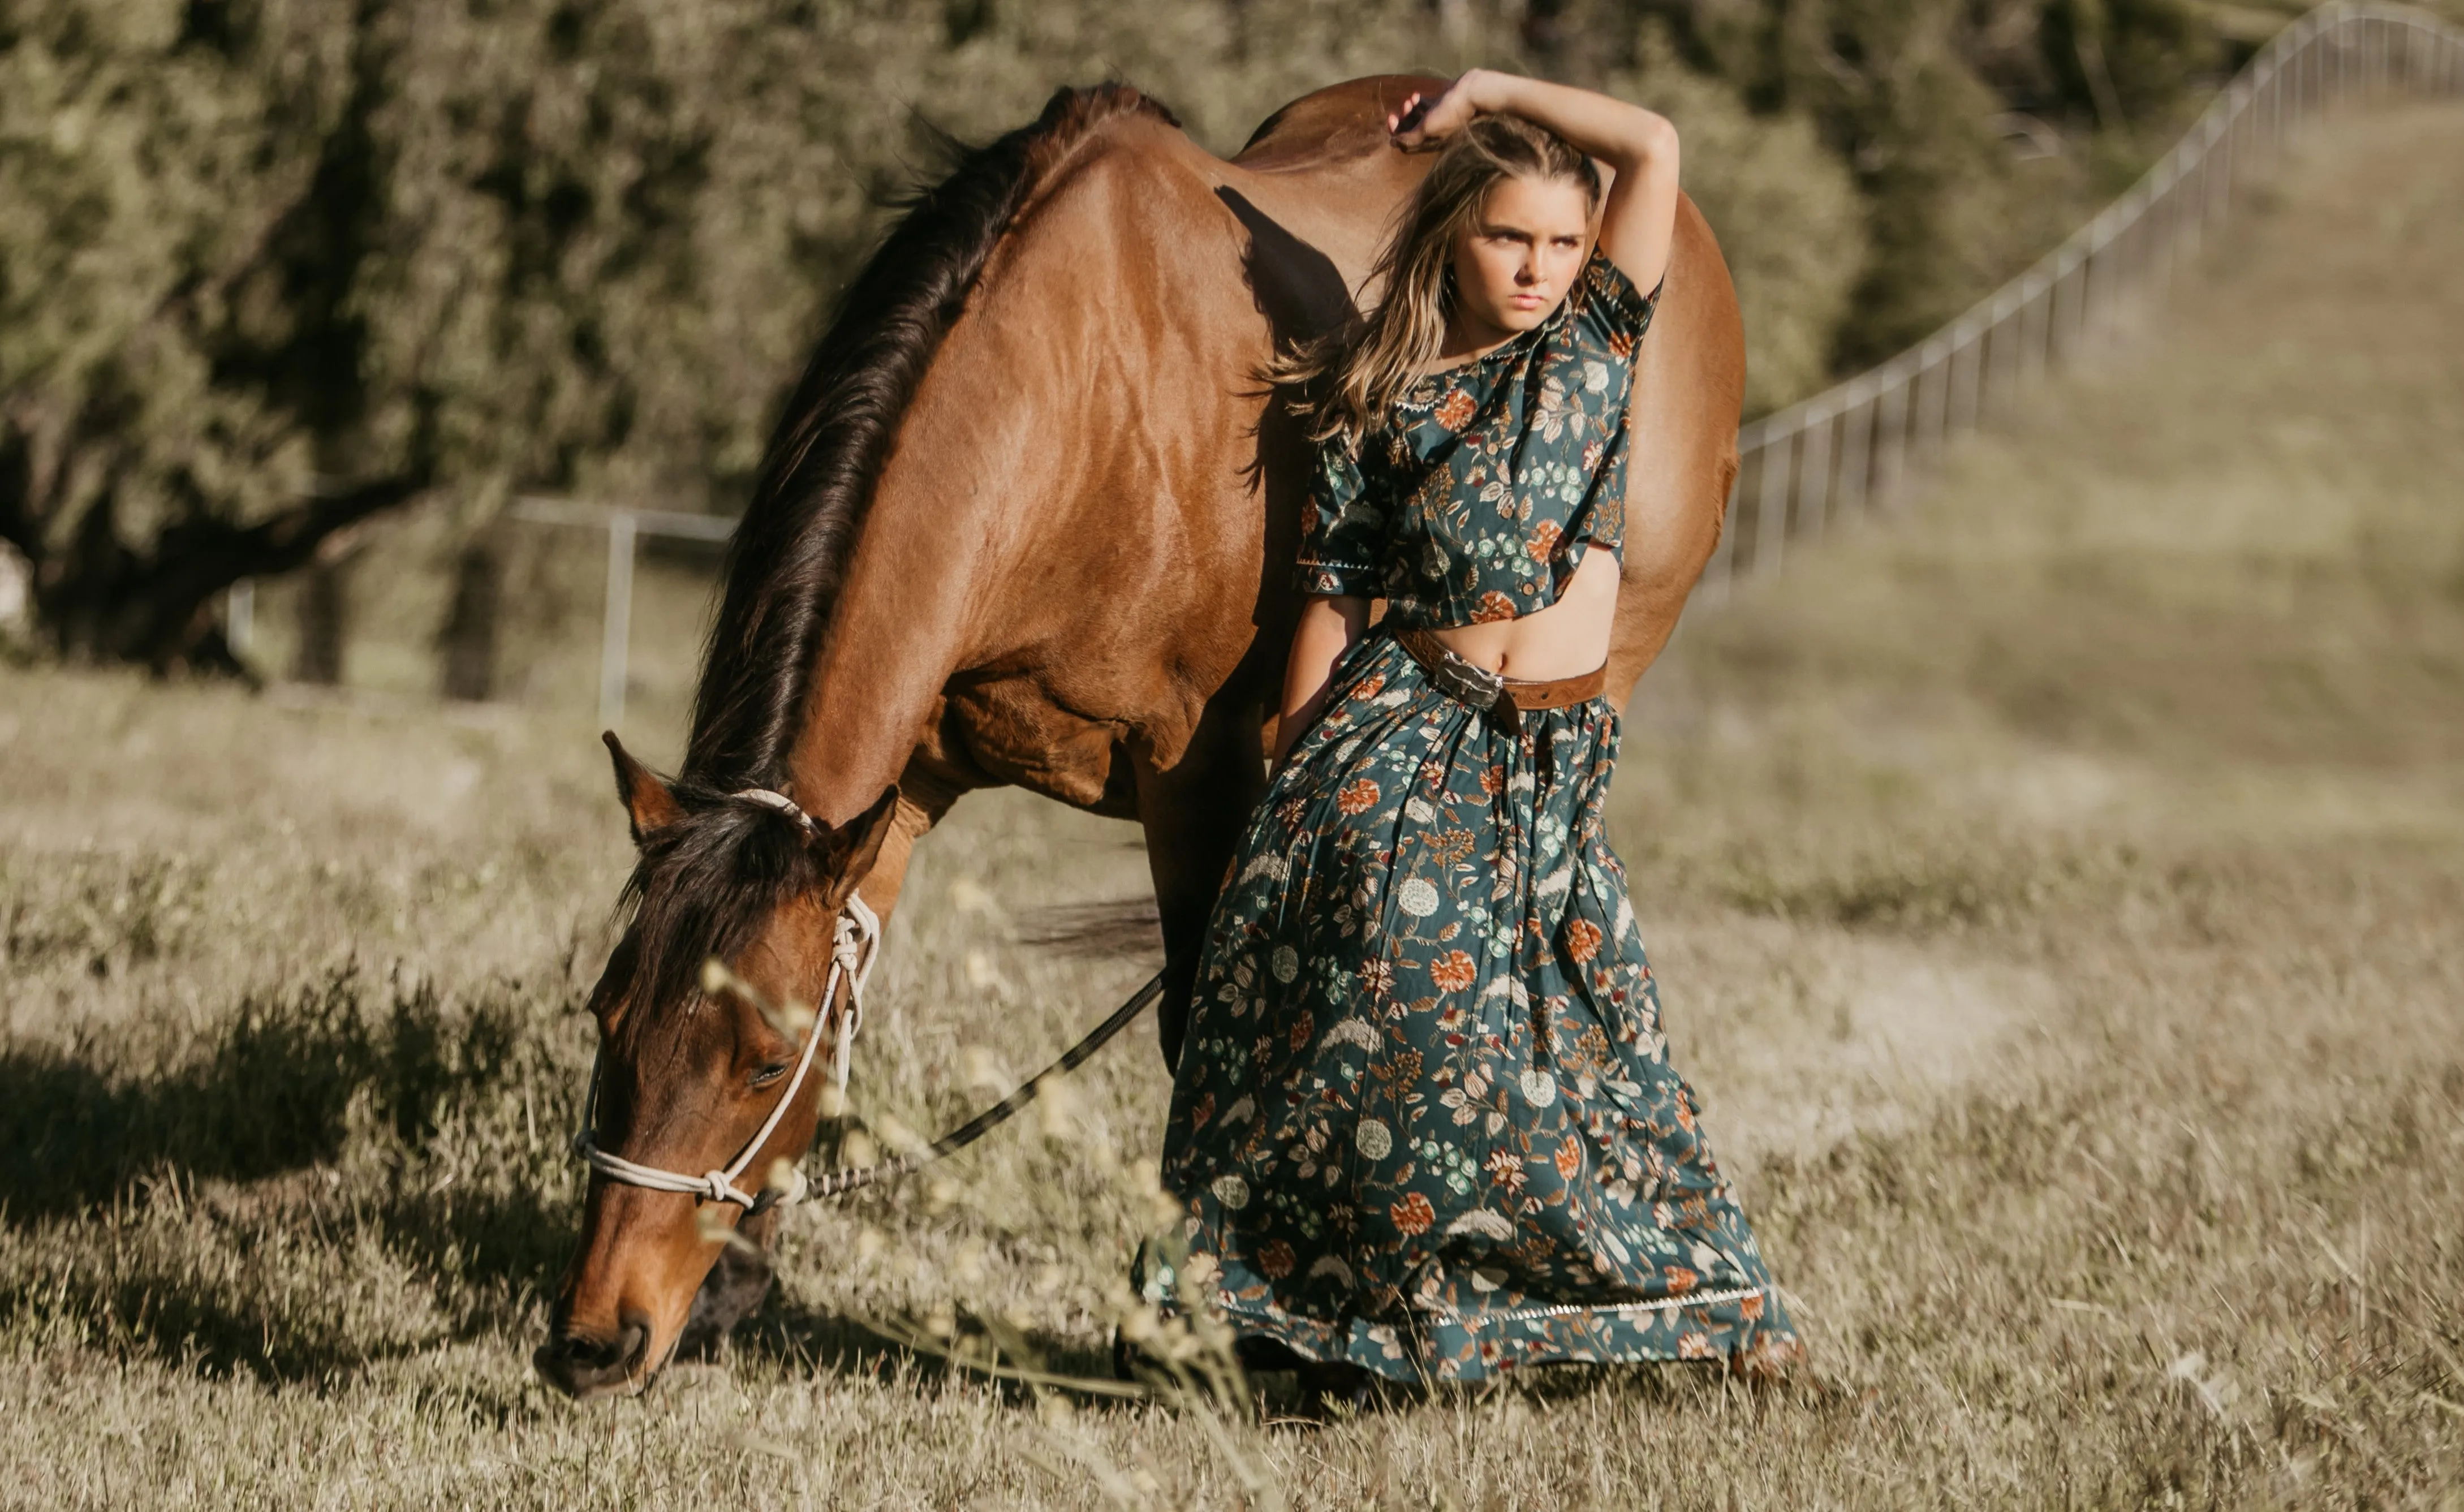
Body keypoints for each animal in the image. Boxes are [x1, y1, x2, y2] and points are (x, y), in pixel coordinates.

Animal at [532, 77, 1744, 1408]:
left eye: (759, 1061)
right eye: (605, 1017)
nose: (592, 1339)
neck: (1069, 409)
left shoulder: (1191, 770)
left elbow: (1192, 1025)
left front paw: (1199, 1329)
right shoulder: (903, 785)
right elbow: (857, 982)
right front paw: (740, 1281)